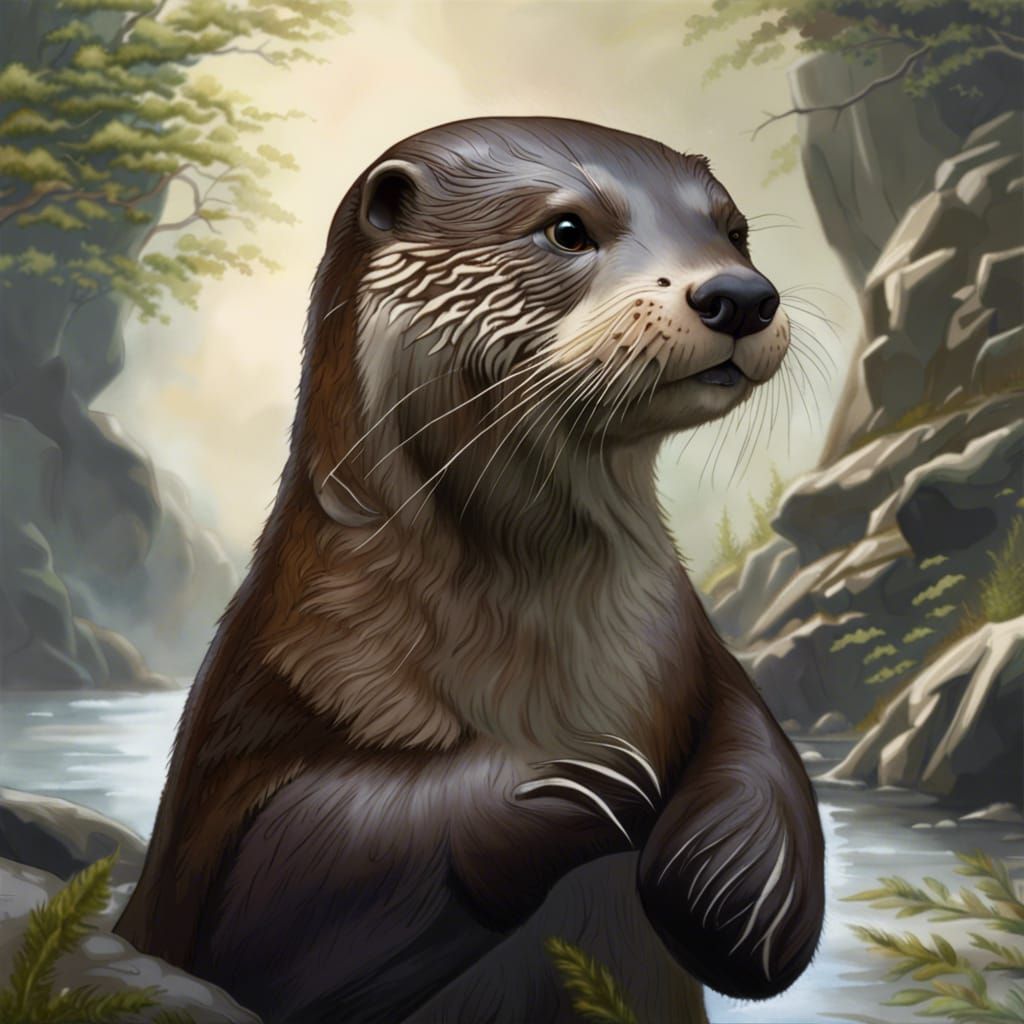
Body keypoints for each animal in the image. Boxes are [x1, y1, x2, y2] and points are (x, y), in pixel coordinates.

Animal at [115, 117, 824, 1024]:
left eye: (733, 231)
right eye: (567, 229)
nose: (739, 294)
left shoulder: (693, 649)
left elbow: (761, 745)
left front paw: (742, 887)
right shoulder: (262, 732)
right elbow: (294, 889)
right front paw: (577, 779)